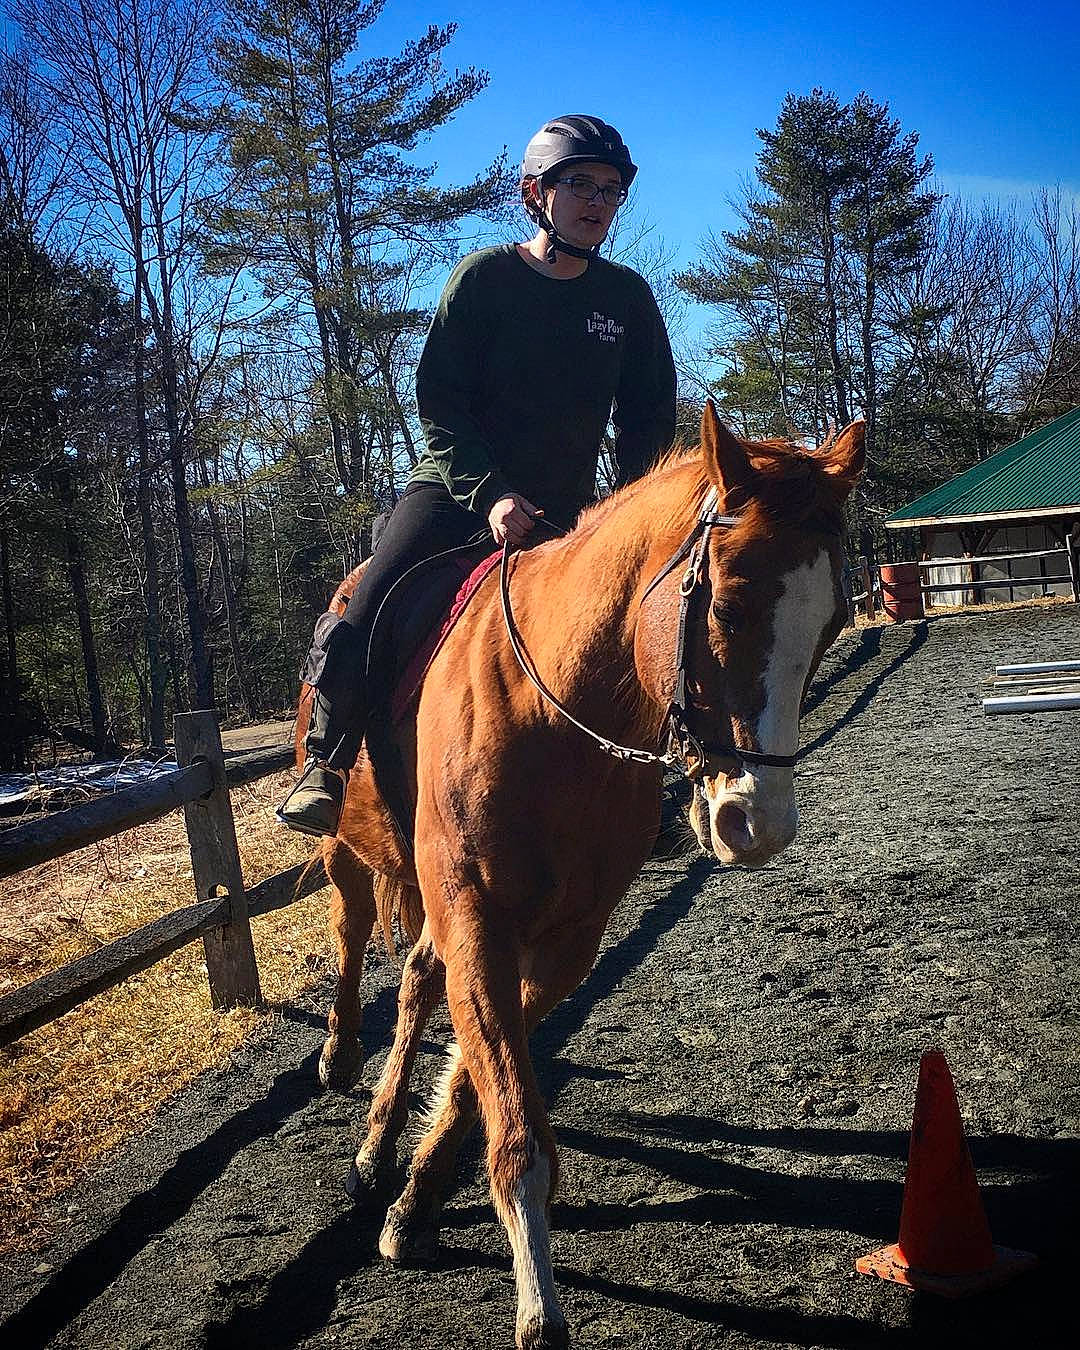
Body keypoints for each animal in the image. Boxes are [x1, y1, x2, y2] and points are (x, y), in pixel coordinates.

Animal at [298, 403, 864, 1349]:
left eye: (831, 622)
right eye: (729, 604)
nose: (758, 825)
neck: (553, 711)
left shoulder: (567, 941)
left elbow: (482, 1079)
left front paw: (416, 1201)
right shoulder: (478, 917)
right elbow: (514, 1119)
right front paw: (538, 1304)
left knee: (415, 977)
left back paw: (380, 1145)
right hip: (347, 847)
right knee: (350, 932)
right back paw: (343, 1063)